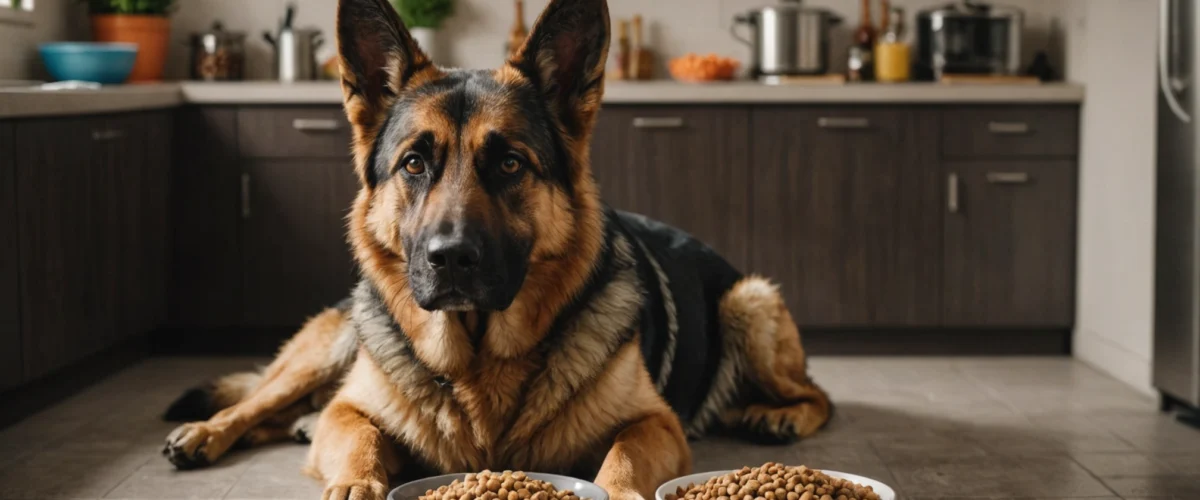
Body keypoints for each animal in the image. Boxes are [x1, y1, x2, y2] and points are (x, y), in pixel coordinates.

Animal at [162, 0, 825, 496]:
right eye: (414, 163)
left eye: (509, 163)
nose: (450, 258)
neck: (479, 358)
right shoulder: (349, 414)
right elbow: (361, 439)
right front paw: (355, 484)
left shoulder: (654, 423)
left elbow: (622, 459)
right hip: (326, 351)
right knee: (260, 402)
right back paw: (206, 432)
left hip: (751, 301)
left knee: (815, 395)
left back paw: (775, 415)